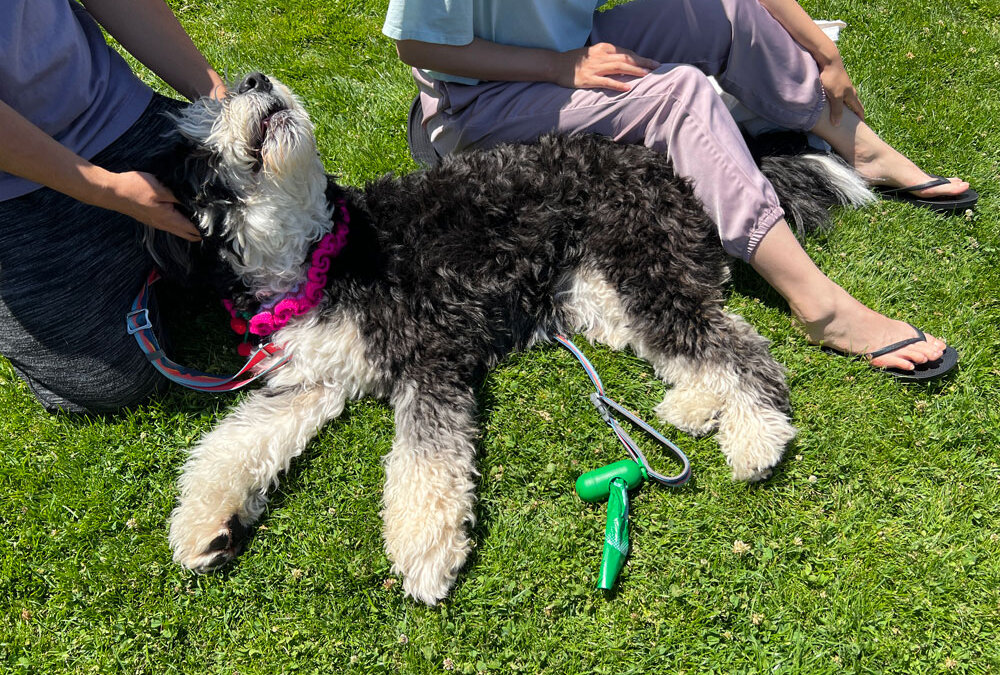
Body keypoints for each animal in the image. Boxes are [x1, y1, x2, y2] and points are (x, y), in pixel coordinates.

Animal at [160, 72, 872, 604]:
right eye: (197, 127)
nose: (254, 79)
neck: (318, 255)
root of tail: (655, 158)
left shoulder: (433, 356)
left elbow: (425, 458)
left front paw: (425, 549)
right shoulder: (312, 378)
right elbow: (232, 442)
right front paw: (205, 525)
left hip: (642, 267)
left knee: (738, 346)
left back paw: (756, 440)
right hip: (595, 297)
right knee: (703, 340)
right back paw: (696, 407)